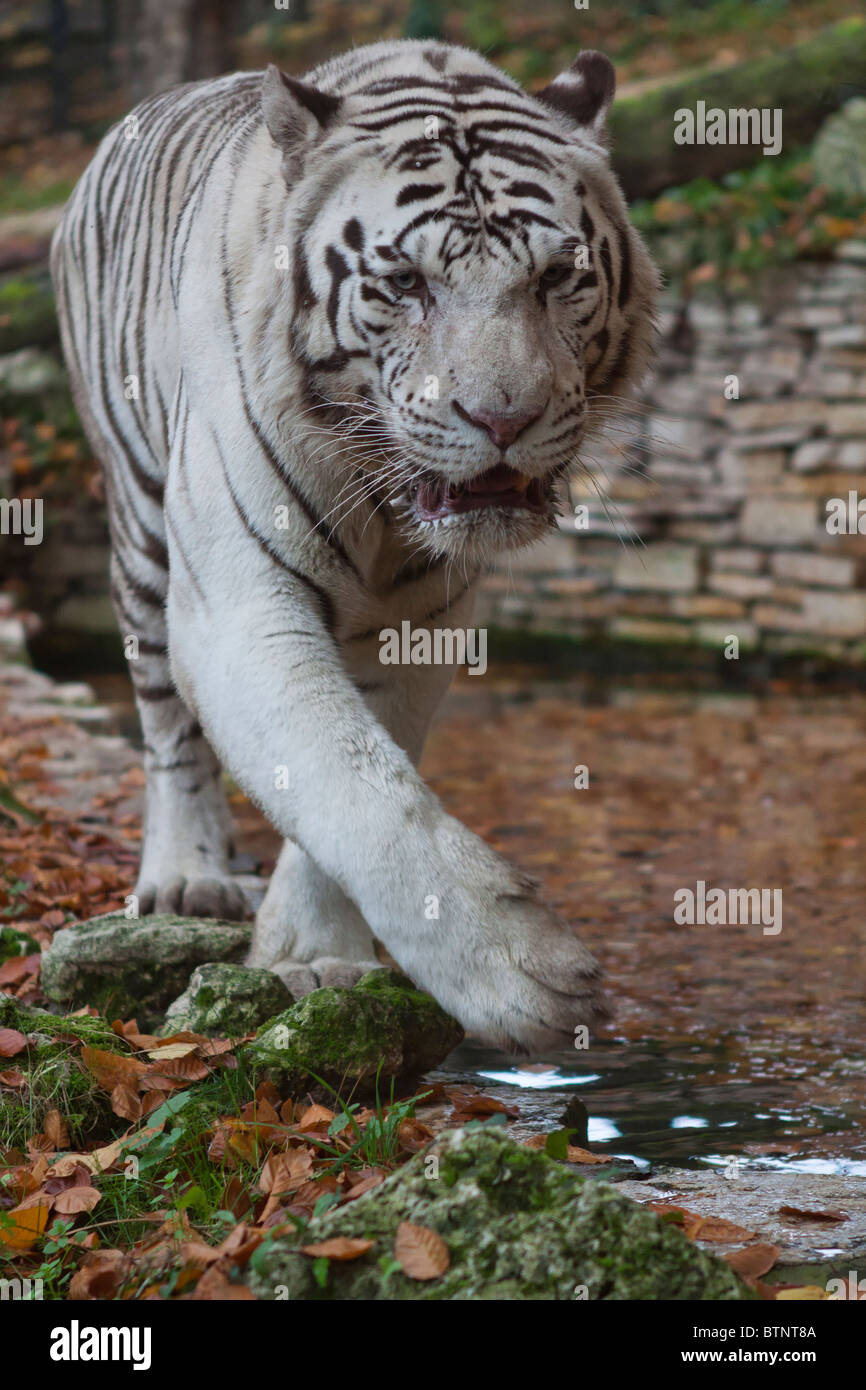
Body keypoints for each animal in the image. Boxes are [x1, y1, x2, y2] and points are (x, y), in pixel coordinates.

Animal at [50, 38, 661, 1045]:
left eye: (555, 277)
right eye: (407, 282)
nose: (504, 418)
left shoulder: (422, 619)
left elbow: (361, 772)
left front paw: (313, 956)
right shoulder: (239, 605)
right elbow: (353, 784)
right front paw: (521, 974)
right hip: (139, 527)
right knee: (167, 726)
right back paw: (188, 875)